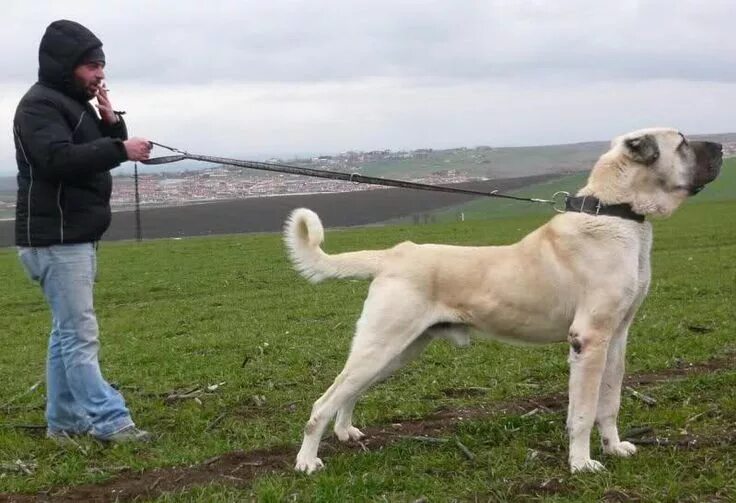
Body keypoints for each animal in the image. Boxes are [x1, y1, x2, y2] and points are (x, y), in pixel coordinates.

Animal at [284, 128, 724, 474]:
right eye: (682, 142)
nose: (722, 145)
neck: (615, 212)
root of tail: (393, 254)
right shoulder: (588, 340)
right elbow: (582, 411)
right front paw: (582, 464)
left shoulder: (616, 339)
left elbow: (609, 402)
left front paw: (614, 448)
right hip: (382, 345)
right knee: (323, 401)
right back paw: (306, 461)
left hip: (398, 351)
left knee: (348, 392)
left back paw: (345, 432)